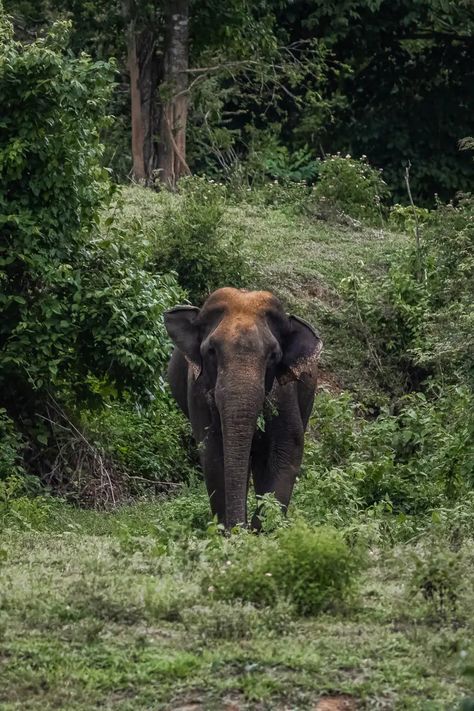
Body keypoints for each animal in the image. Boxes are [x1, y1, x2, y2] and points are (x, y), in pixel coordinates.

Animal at [163, 288, 322, 528]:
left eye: (274, 355)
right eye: (211, 351)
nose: (241, 528)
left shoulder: (285, 393)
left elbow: (286, 450)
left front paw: (260, 530)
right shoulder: (198, 391)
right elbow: (213, 453)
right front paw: (231, 532)